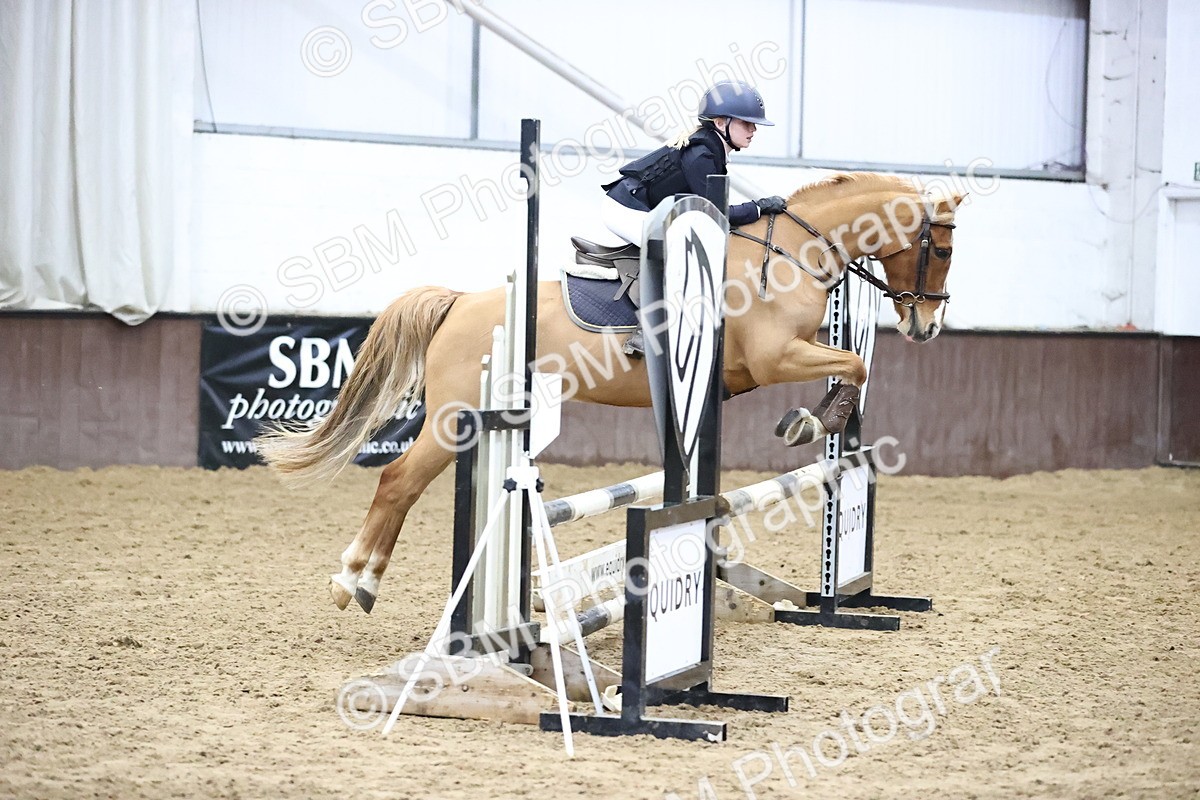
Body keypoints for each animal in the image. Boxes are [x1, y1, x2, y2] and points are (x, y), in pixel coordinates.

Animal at [255, 171, 964, 613]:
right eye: (941, 250)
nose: (926, 327)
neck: (792, 252)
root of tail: (458, 302)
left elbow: (851, 364)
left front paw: (819, 421)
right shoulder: (773, 357)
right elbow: (855, 364)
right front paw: (812, 422)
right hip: (456, 417)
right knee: (398, 481)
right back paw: (355, 581)